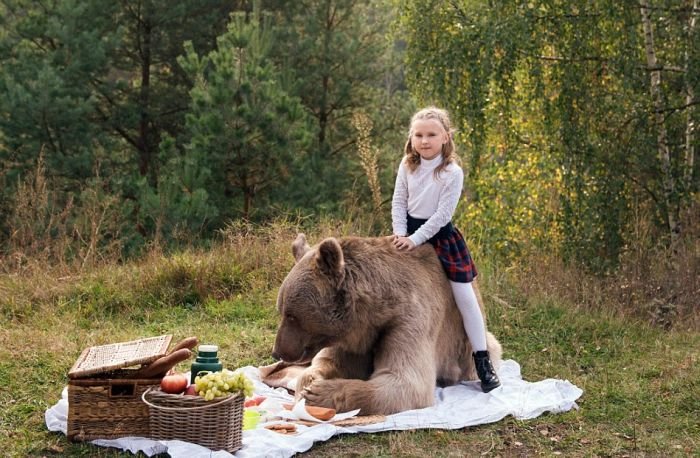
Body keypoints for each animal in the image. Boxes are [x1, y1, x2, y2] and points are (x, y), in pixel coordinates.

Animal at [272, 233, 504, 416]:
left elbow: (405, 381)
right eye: (281, 310)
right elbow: (328, 362)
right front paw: (308, 385)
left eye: (291, 315)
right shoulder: (352, 338)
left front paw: (319, 393)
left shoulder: (408, 319)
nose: (277, 352)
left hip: (465, 344)